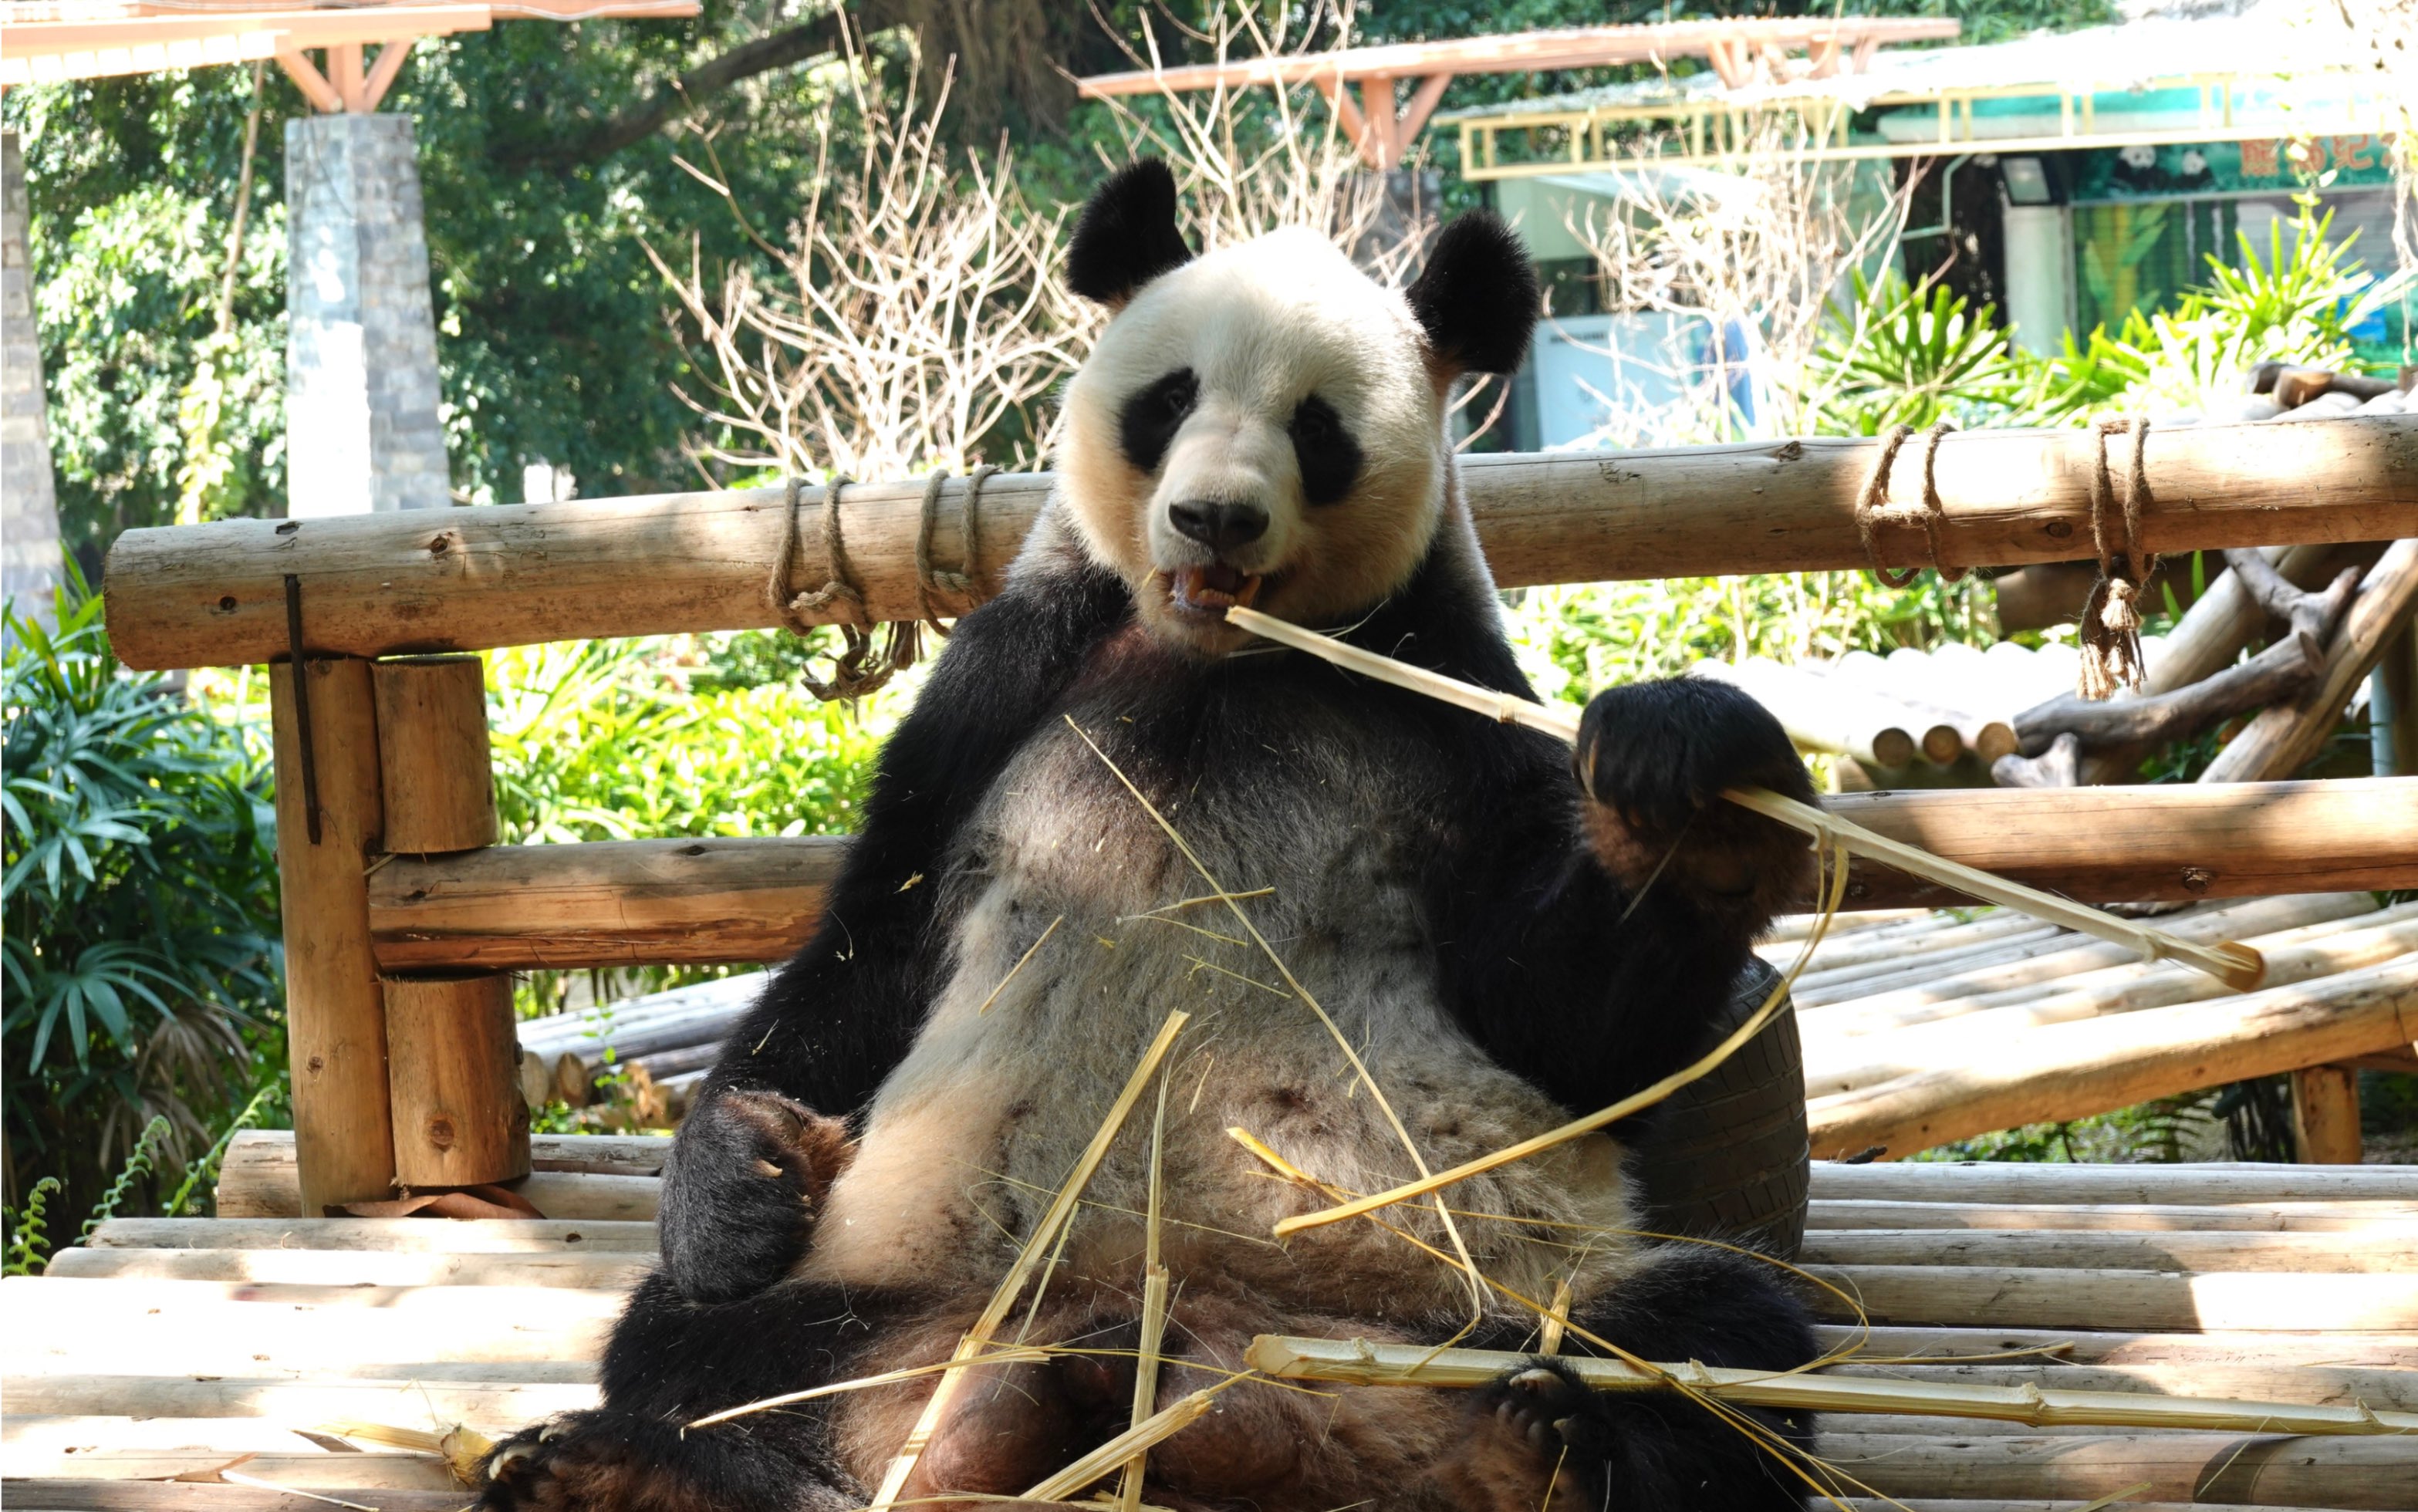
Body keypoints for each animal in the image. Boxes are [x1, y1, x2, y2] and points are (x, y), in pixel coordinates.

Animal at [481, 159, 1818, 1500]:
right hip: (907, 1281)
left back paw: (1529, 1444)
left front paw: (1691, 790)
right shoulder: (1009, 680)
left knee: (1715, 1338)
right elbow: (870, 948)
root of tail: (1189, 1341)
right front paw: (744, 1172)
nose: (1217, 518)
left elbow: (1561, 1020)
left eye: (1316, 429)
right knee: (706, 1343)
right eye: (1170, 400)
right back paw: (701, 1455)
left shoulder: (1440, 694)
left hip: (1491, 1286)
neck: (1213, 662)